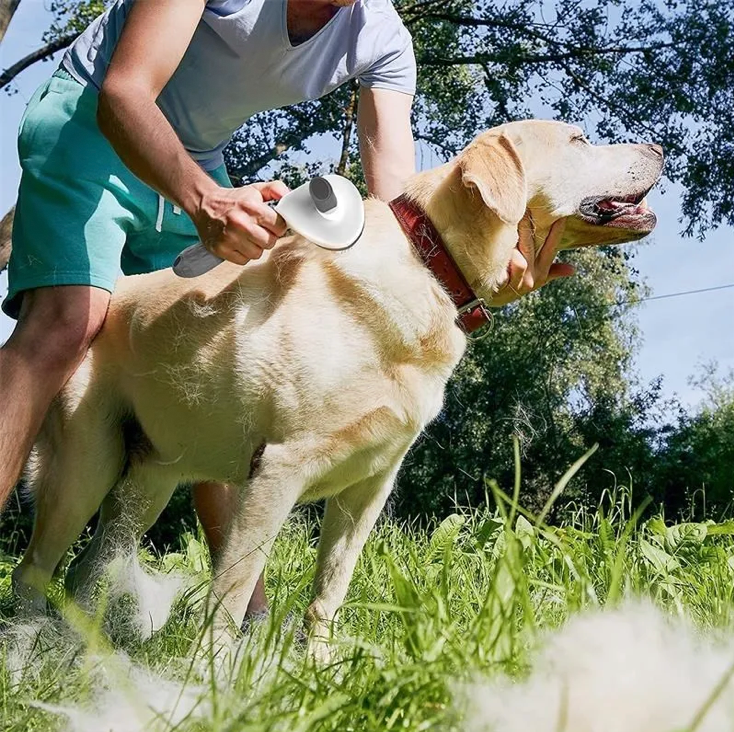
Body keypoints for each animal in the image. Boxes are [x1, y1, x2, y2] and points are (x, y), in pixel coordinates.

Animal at [12, 120, 668, 652]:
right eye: (580, 140)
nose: (659, 148)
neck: (431, 264)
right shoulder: (276, 471)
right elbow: (232, 594)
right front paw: (214, 681)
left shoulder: (369, 486)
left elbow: (328, 593)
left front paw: (318, 667)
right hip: (84, 469)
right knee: (35, 569)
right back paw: (30, 658)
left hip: (145, 486)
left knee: (88, 574)